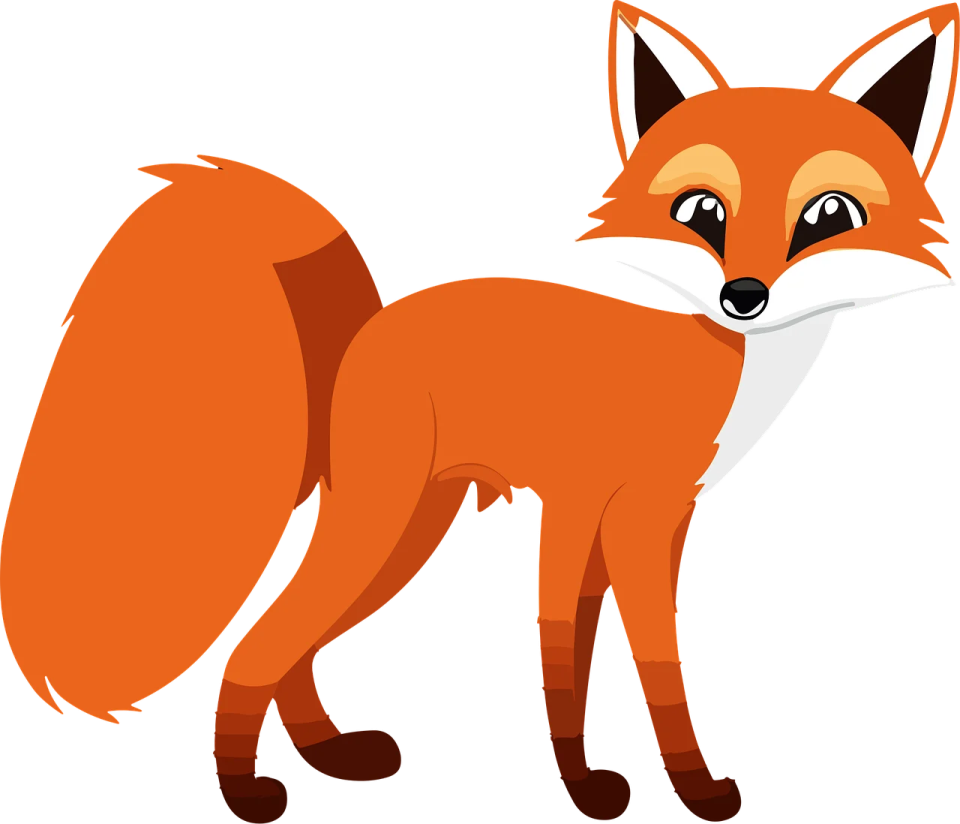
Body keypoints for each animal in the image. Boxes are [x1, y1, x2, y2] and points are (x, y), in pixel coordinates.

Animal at [1, 2, 957, 822]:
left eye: (828, 215)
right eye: (701, 213)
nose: (744, 296)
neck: (726, 368)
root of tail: (368, 322)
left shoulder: (652, 521)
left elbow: (614, 655)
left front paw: (633, 784)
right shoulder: (591, 512)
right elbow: (595, 656)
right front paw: (623, 792)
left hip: (407, 530)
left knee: (293, 646)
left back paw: (327, 753)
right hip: (387, 522)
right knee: (257, 647)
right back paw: (249, 798)